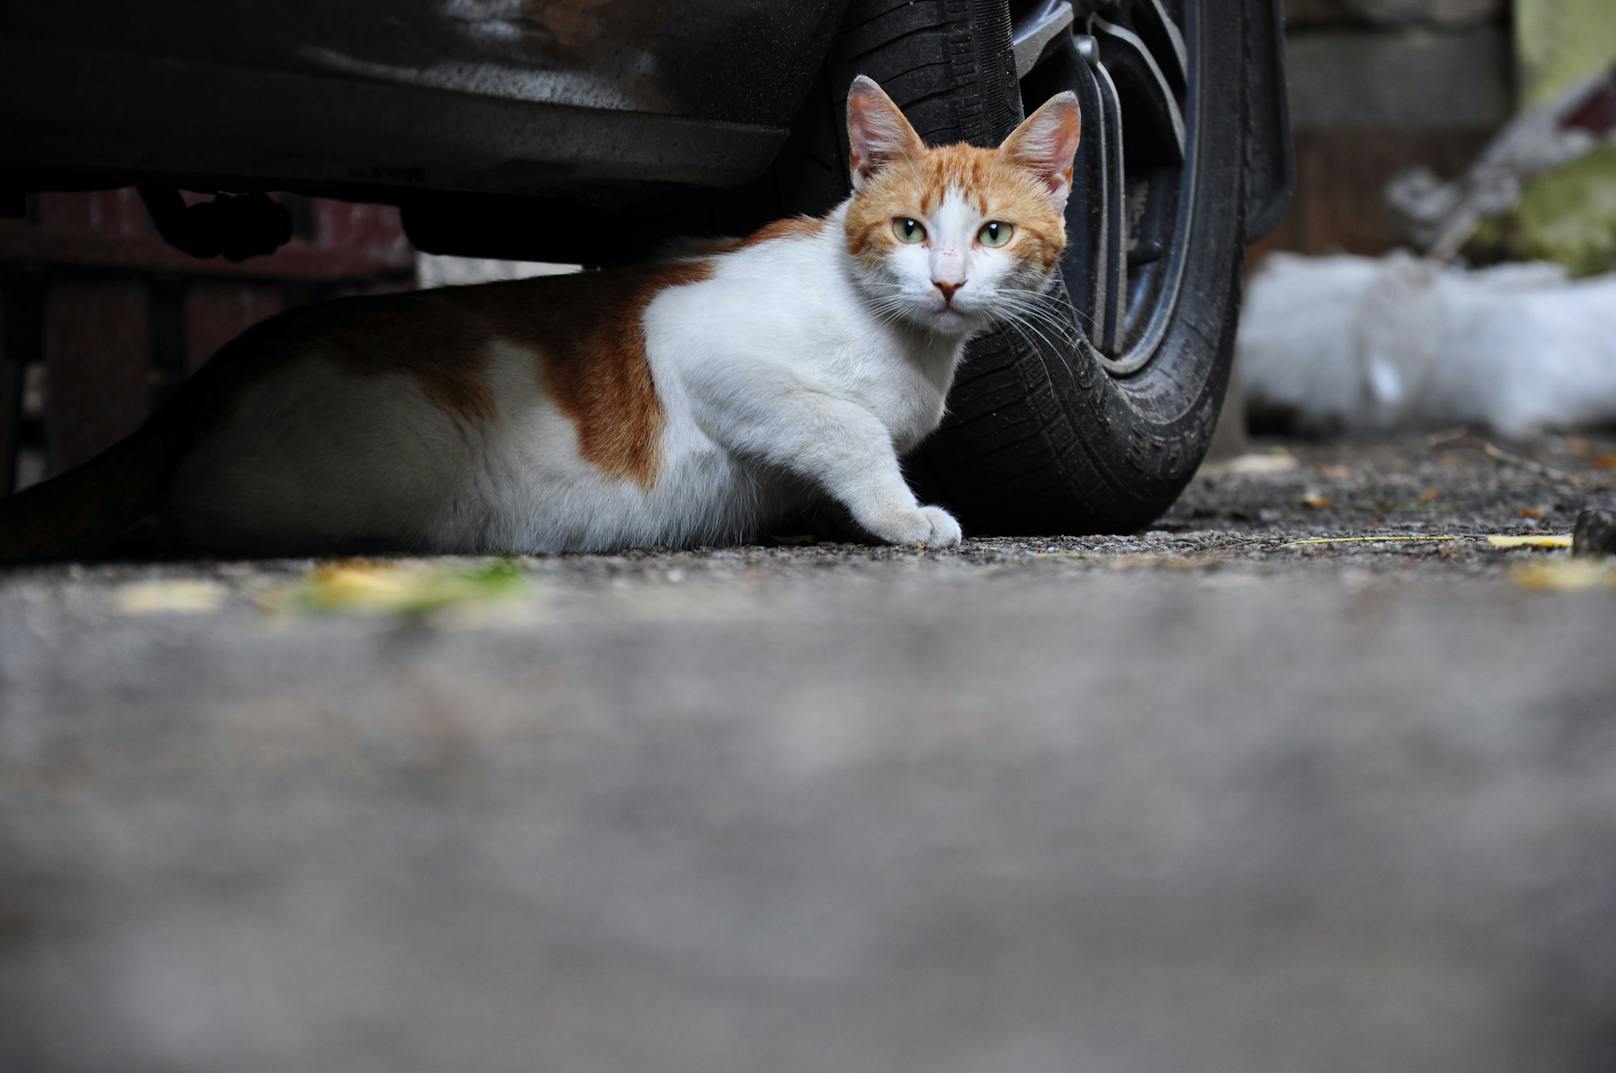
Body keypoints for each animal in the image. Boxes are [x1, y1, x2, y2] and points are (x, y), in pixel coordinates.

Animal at [6, 79, 1085, 555]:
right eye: (908, 227)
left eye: (991, 233)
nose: (946, 281)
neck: (905, 344)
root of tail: (220, 368)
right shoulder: (703, 341)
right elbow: (847, 427)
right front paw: (903, 514)